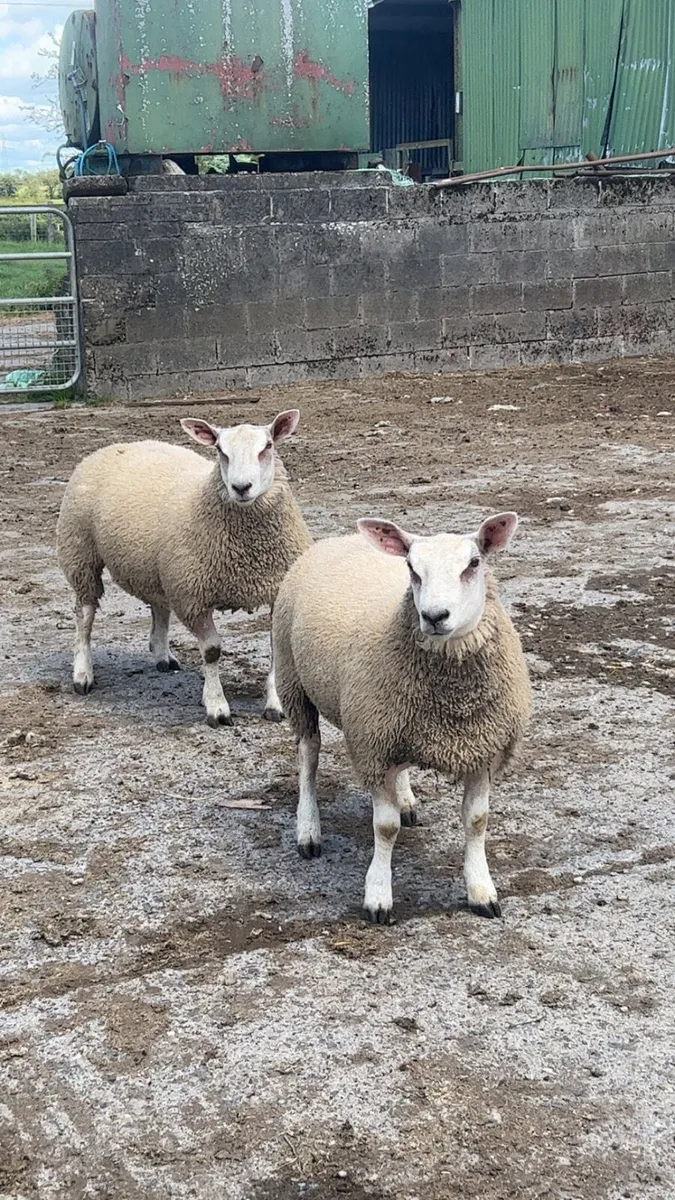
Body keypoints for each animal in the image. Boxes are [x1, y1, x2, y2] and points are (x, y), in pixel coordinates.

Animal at [56, 410, 311, 726]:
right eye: (220, 450)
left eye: (267, 446)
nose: (241, 488)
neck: (248, 554)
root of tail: (121, 444)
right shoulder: (192, 597)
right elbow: (212, 651)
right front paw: (216, 706)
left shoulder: (276, 589)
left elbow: (276, 648)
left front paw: (275, 704)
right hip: (80, 552)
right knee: (85, 615)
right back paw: (82, 674)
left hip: (156, 567)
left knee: (158, 605)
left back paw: (162, 655)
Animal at [273, 511, 531, 923]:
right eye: (412, 568)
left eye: (474, 563)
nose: (434, 616)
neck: (451, 705)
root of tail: (341, 538)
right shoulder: (373, 747)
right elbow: (385, 827)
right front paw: (378, 894)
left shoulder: (481, 749)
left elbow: (477, 821)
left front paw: (481, 890)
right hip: (293, 681)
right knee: (308, 757)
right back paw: (308, 829)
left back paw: (406, 798)